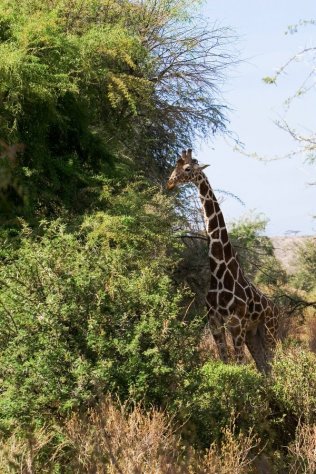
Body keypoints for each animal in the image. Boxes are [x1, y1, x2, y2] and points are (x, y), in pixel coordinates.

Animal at [167, 150, 278, 372]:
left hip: (270, 330)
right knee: (265, 367)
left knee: (276, 364)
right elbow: (226, 362)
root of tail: (277, 309)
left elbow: (240, 366)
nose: (170, 183)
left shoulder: (236, 324)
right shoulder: (215, 322)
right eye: (175, 167)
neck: (218, 272)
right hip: (254, 334)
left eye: (188, 169)